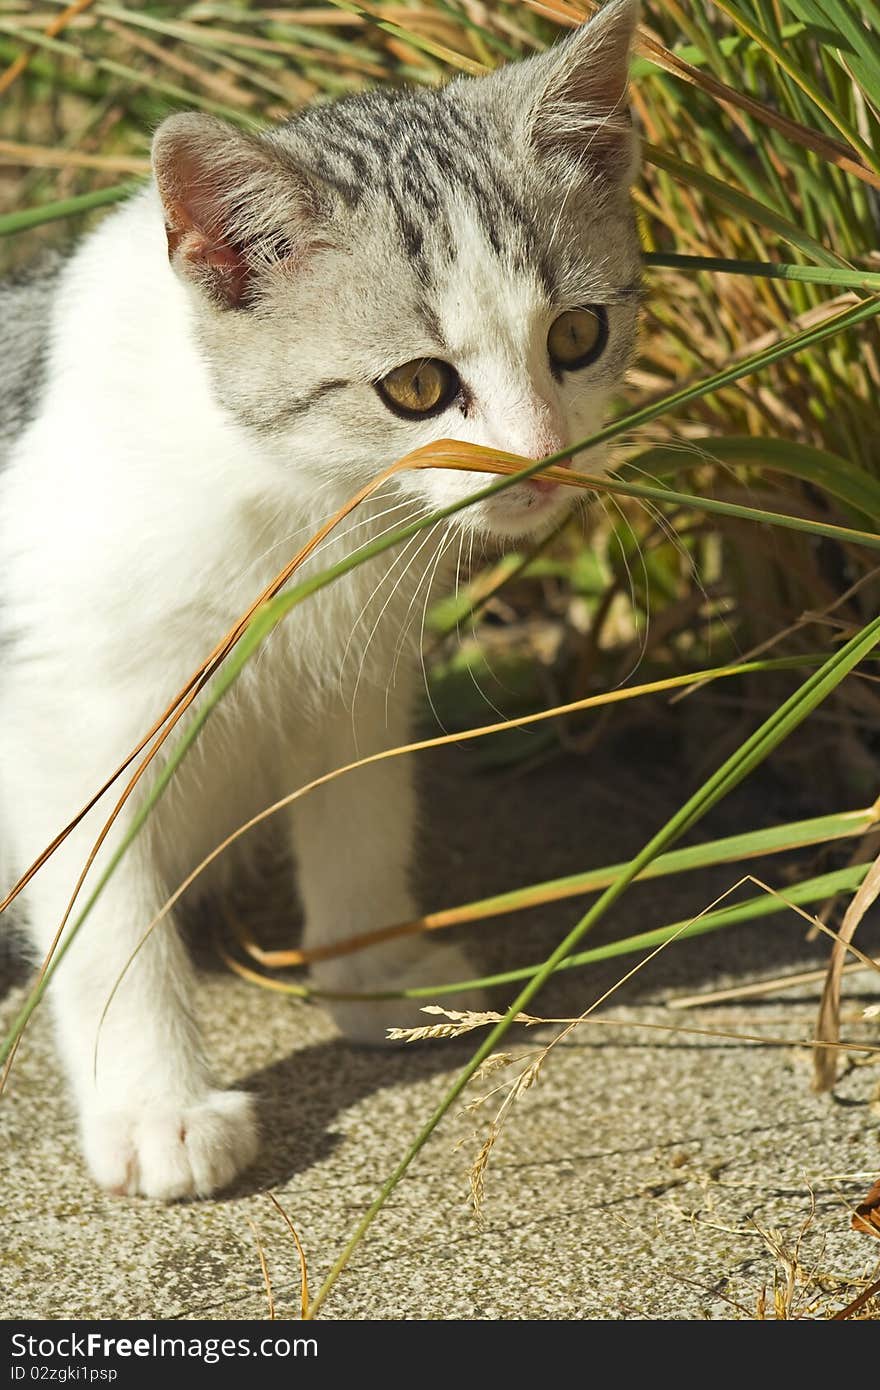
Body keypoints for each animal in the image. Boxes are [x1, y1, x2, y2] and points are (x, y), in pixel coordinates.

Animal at [0, 0, 642, 1195]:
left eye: (578, 336)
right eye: (417, 388)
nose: (538, 464)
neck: (293, 501)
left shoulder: (351, 675)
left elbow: (361, 821)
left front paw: (373, 975)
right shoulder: (68, 718)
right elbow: (108, 923)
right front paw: (156, 1106)